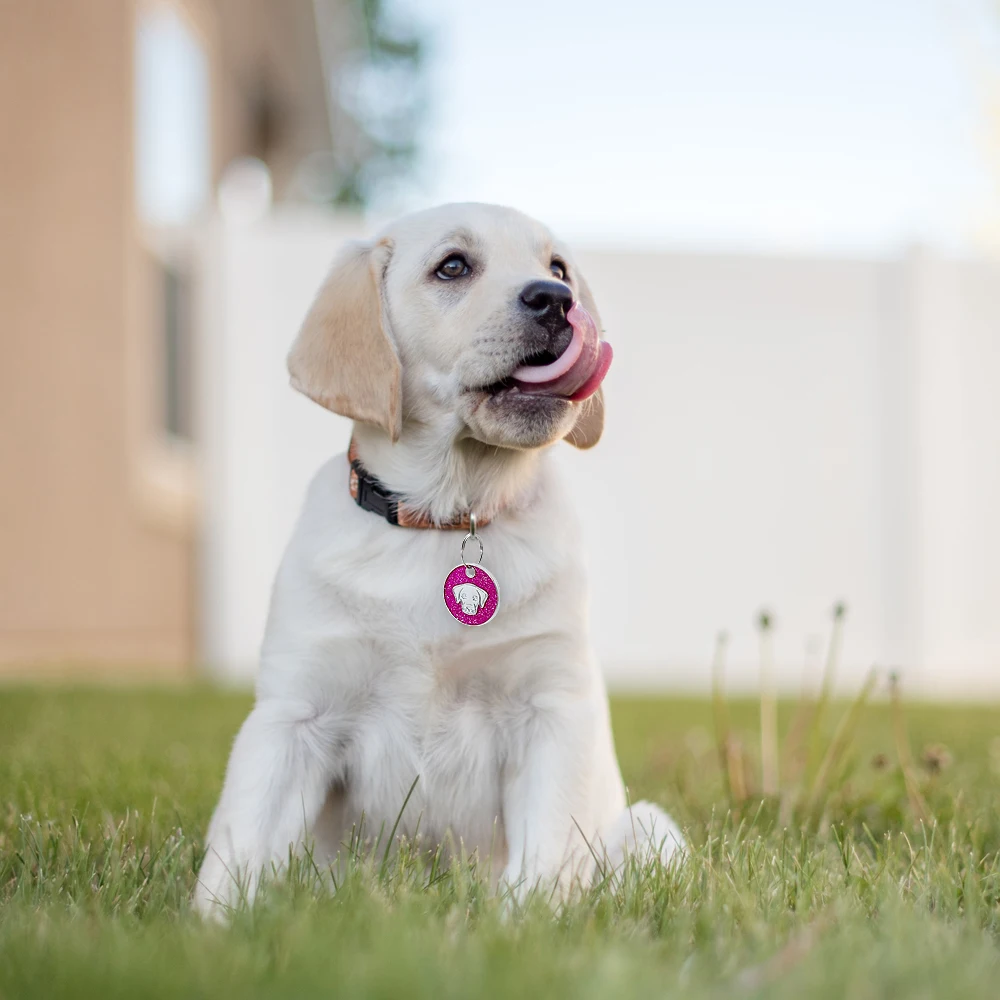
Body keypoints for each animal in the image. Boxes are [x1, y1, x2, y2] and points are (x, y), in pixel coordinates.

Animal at [192, 201, 684, 916]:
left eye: (558, 267)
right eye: (453, 266)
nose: (557, 300)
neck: (448, 516)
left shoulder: (551, 711)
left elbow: (544, 856)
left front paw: (523, 924)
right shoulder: (294, 715)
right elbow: (240, 846)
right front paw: (213, 927)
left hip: (651, 827)